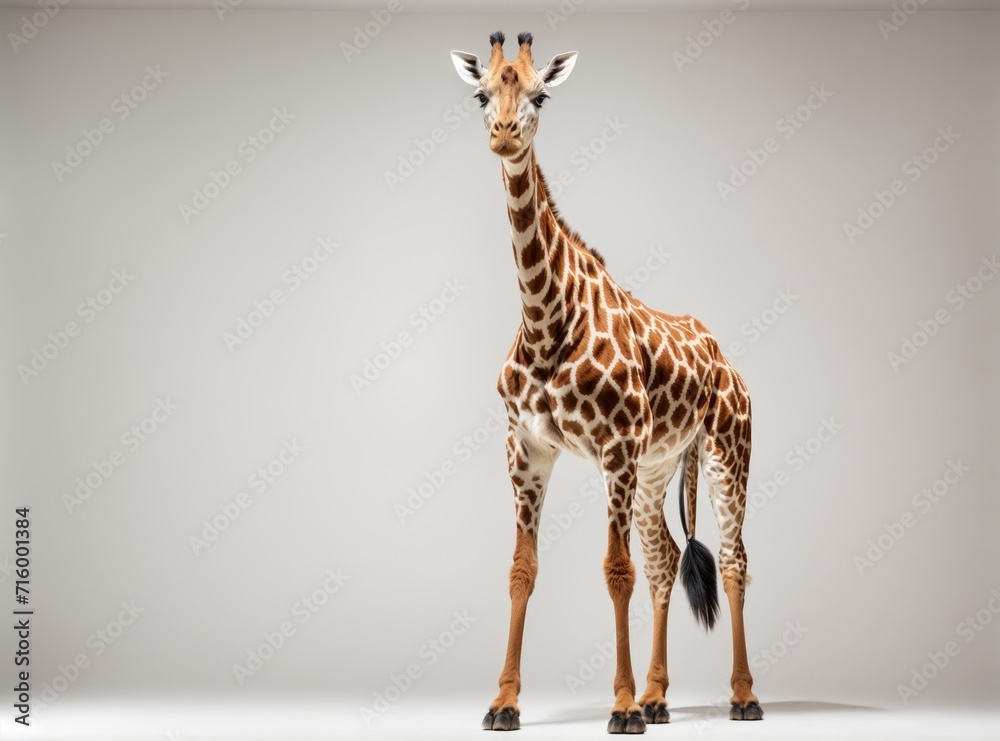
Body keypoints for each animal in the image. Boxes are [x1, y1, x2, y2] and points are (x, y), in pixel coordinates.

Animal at [450, 32, 763, 734]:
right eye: (481, 95)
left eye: (540, 95)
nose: (505, 135)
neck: (546, 319)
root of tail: (727, 360)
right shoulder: (525, 450)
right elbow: (522, 570)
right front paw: (504, 703)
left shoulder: (614, 448)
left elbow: (615, 570)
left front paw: (619, 708)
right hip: (657, 469)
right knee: (667, 559)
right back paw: (657, 696)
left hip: (727, 451)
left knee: (733, 562)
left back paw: (741, 696)